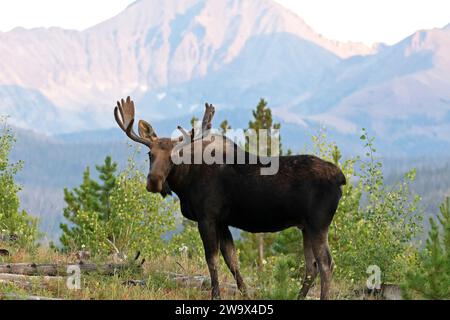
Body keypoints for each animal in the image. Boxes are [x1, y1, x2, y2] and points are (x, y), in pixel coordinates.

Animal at [114, 96, 346, 298]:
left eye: (175, 156)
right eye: (149, 154)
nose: (154, 181)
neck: (185, 183)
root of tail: (340, 178)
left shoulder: (207, 217)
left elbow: (212, 260)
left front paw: (215, 295)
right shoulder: (222, 221)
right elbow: (232, 261)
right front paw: (246, 294)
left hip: (317, 224)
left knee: (326, 264)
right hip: (305, 226)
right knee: (311, 266)